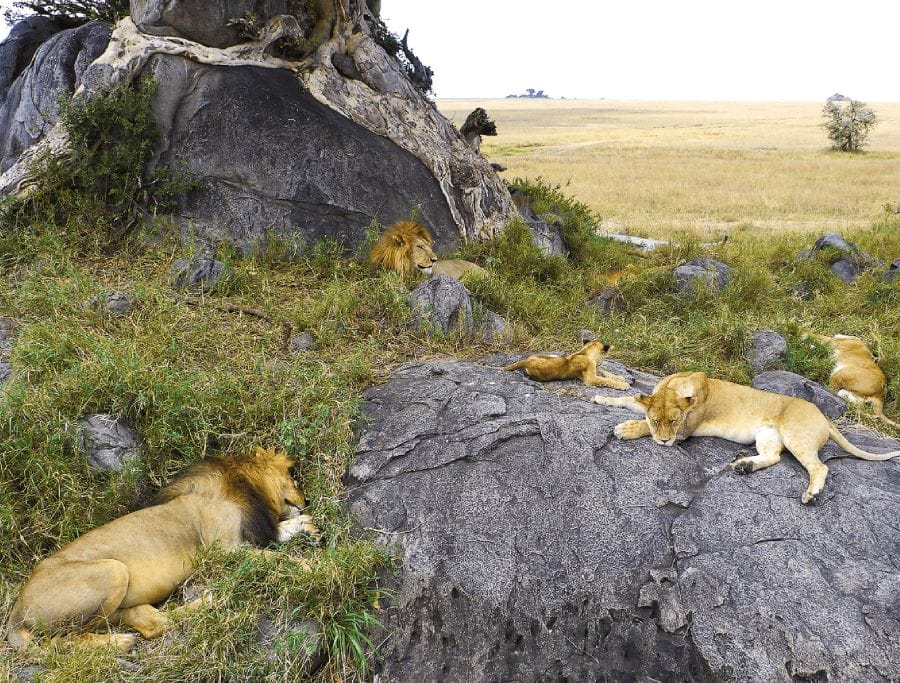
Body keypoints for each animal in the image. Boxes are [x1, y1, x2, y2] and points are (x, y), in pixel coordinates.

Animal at [6, 446, 318, 652]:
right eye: (293, 478)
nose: (307, 500)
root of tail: (15, 611)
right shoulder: (225, 550)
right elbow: (275, 559)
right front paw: (310, 566)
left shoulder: (254, 534)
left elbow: (287, 531)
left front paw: (311, 527)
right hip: (112, 570)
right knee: (62, 641)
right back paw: (119, 642)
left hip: (120, 599)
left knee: (155, 624)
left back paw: (208, 601)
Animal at [593, 372, 899, 504]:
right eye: (658, 420)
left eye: (674, 421)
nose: (666, 442)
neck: (673, 386)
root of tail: (825, 417)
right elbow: (629, 400)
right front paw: (601, 398)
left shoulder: (686, 431)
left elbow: (641, 425)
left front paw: (625, 429)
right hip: (767, 435)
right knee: (773, 456)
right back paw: (744, 466)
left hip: (795, 435)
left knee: (819, 467)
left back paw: (811, 494)